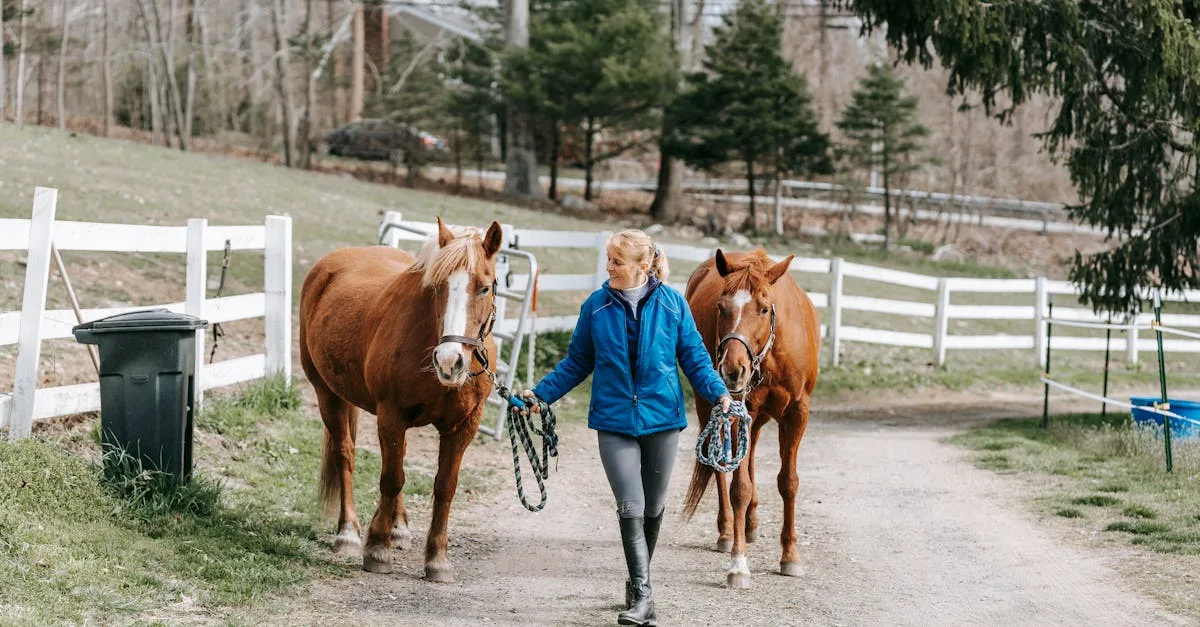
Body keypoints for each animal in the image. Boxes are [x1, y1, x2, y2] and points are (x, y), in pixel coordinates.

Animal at [299, 216, 503, 582]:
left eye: (485, 287)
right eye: (438, 287)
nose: (450, 361)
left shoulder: (464, 426)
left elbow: (445, 487)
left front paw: (437, 558)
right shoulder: (391, 415)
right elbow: (391, 479)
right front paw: (377, 549)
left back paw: (398, 527)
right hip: (328, 395)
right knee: (345, 454)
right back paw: (349, 533)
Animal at [681, 248, 820, 589]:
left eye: (764, 308)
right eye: (721, 307)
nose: (733, 369)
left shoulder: (798, 413)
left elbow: (789, 482)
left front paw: (790, 555)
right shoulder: (735, 408)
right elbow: (739, 487)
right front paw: (738, 564)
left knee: (752, 451)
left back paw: (751, 522)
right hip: (711, 406)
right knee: (720, 465)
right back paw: (727, 530)